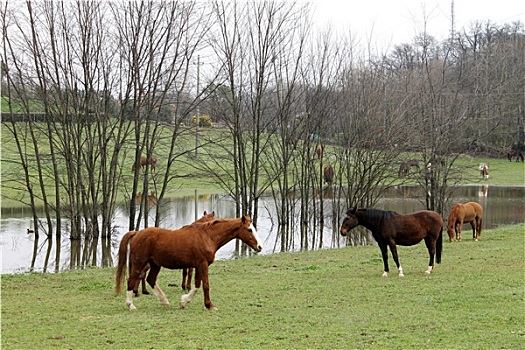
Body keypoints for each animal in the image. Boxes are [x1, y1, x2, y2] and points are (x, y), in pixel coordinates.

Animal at [115, 215, 260, 310]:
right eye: (249, 229)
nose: (259, 247)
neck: (207, 236)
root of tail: (136, 233)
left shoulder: (198, 266)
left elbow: (196, 285)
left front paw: (184, 302)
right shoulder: (203, 265)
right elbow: (205, 285)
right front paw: (209, 305)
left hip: (155, 264)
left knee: (151, 280)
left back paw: (165, 302)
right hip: (139, 264)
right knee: (131, 281)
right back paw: (131, 305)